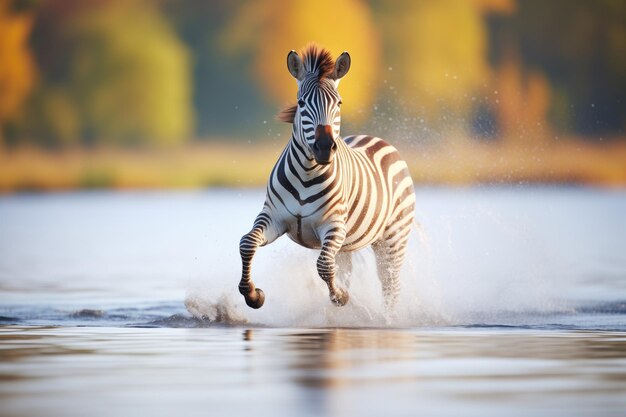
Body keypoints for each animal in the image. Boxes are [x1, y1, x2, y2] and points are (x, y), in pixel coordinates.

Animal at [239, 44, 414, 312]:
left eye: (339, 103)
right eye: (301, 103)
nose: (324, 147)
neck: (307, 172)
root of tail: (376, 139)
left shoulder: (334, 225)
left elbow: (323, 266)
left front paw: (340, 297)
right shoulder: (273, 217)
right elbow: (247, 243)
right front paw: (252, 295)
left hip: (393, 238)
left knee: (390, 287)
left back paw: (388, 318)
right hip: (348, 245)